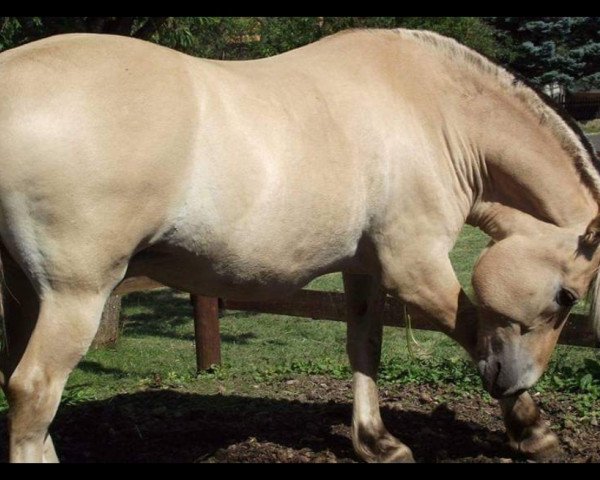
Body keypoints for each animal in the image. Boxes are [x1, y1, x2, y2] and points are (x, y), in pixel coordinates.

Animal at [1, 27, 600, 462]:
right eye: (568, 296)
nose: (514, 377)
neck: (432, 113)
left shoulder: (364, 268)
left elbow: (365, 346)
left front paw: (376, 442)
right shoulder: (415, 269)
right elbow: (472, 329)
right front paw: (533, 430)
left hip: (25, 293)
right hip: (75, 294)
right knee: (34, 391)